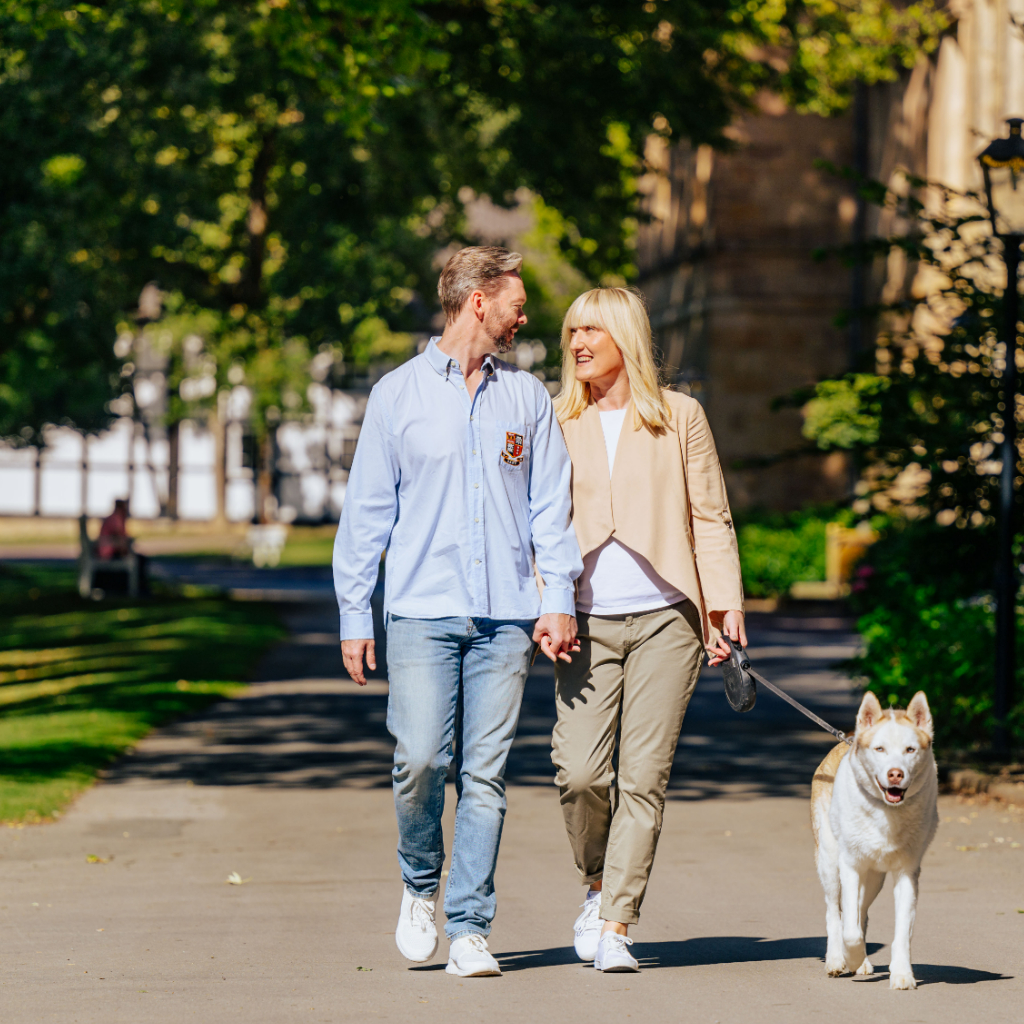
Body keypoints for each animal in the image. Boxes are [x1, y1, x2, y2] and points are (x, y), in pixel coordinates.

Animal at [811, 692, 937, 987]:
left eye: (910, 750)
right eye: (880, 749)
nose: (895, 774)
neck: (886, 813)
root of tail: (846, 739)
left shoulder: (907, 873)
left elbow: (902, 932)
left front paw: (902, 974)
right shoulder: (850, 866)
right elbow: (849, 930)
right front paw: (851, 957)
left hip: (874, 879)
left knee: (861, 912)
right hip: (830, 862)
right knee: (835, 913)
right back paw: (837, 959)